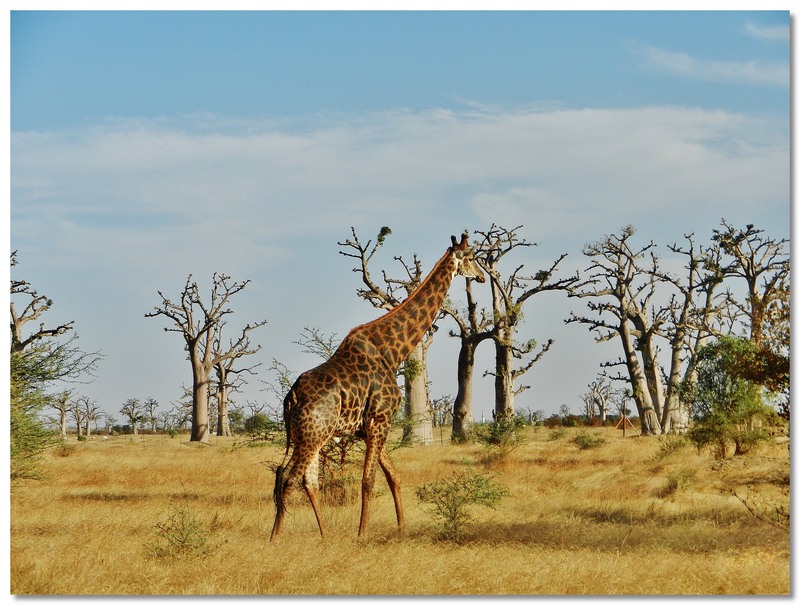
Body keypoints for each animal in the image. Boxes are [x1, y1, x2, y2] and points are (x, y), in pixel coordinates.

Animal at [270, 232, 488, 536]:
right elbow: (369, 481)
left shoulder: (372, 426)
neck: (392, 352)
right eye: (471, 257)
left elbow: (394, 476)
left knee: (305, 480)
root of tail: (291, 397)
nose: (481, 276)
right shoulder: (379, 421)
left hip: (311, 435)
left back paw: (323, 537)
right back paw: (275, 539)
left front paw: (402, 529)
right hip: (312, 434)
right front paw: (362, 535)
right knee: (289, 478)